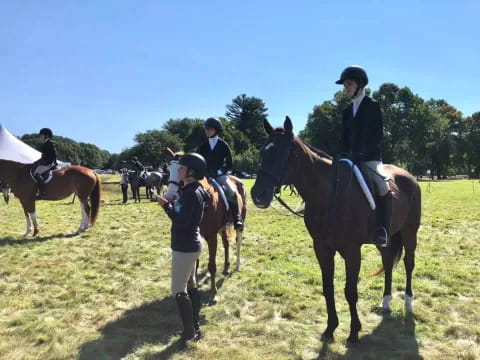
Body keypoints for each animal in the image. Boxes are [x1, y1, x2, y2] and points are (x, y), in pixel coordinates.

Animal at [164, 148, 248, 300]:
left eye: (181, 170)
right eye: (168, 170)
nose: (170, 197)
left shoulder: (211, 236)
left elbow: (211, 265)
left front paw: (213, 291)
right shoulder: (196, 235)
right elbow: (194, 264)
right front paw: (194, 286)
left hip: (240, 221)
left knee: (238, 241)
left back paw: (237, 265)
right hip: (222, 227)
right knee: (226, 243)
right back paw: (226, 267)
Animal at [251, 117, 420, 344]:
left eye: (284, 153)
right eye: (262, 152)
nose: (257, 195)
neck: (329, 193)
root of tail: (409, 177)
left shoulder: (352, 251)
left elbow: (350, 291)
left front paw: (354, 331)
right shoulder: (322, 248)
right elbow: (328, 288)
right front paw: (330, 328)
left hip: (410, 232)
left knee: (409, 263)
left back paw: (408, 302)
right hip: (387, 239)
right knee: (387, 263)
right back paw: (385, 302)